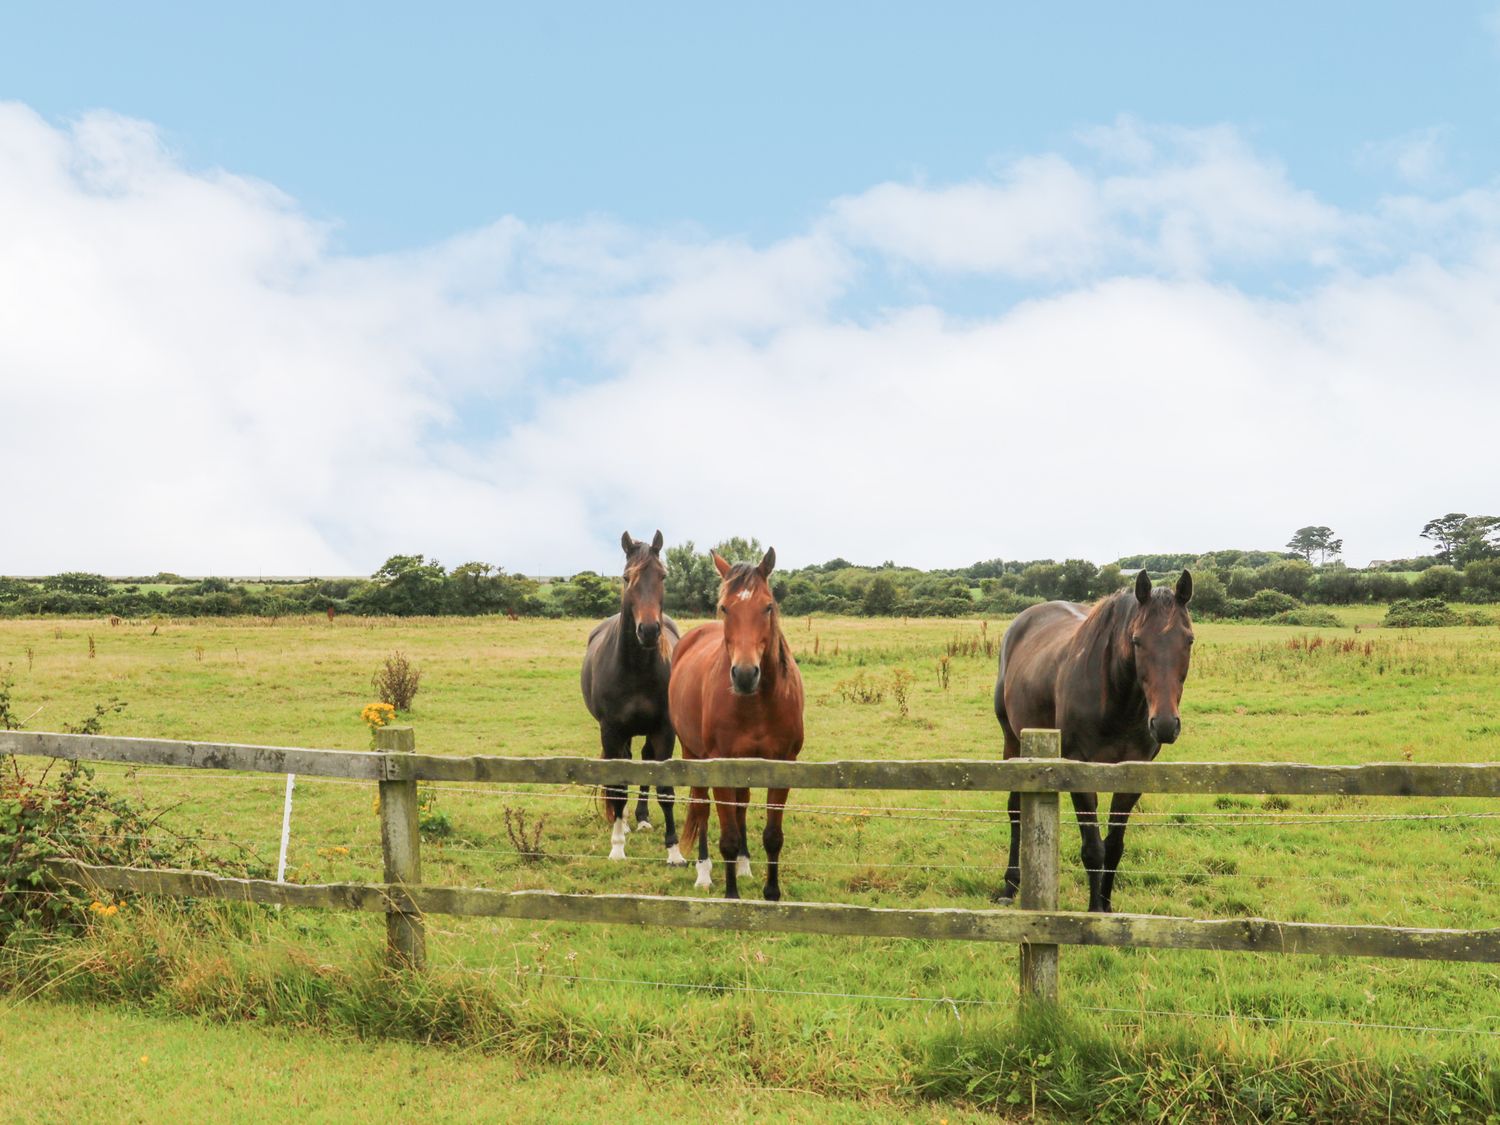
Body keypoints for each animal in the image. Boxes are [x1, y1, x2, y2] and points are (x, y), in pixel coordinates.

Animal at [579, 534, 687, 870]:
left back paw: (641, 818)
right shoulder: (612, 730)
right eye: (628, 578)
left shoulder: (665, 730)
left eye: (662, 575)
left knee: (645, 762)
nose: (649, 630)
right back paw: (625, 822)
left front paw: (674, 851)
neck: (637, 667)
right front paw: (617, 847)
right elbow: (617, 786)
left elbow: (665, 789)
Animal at [672, 552, 804, 906]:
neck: (756, 703)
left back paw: (744, 865)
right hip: (693, 754)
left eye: (768, 606)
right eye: (724, 607)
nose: (745, 675)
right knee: (701, 808)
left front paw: (772, 893)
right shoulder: (720, 762)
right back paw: (704, 872)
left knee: (741, 804)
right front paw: (732, 896)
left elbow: (772, 835)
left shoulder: (782, 764)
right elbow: (728, 835)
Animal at [996, 573, 1194, 918]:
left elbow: (1113, 847)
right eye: (1137, 640)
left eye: (1189, 640)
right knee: (1016, 809)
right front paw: (1093, 911)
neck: (1115, 701)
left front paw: (1108, 909)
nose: (1165, 724)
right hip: (1013, 741)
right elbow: (1093, 849)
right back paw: (1011, 885)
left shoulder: (1133, 775)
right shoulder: (1079, 769)